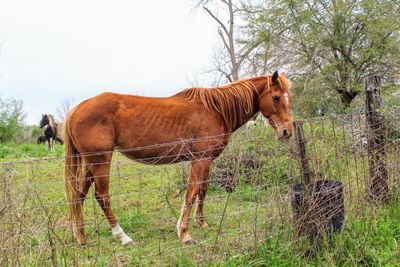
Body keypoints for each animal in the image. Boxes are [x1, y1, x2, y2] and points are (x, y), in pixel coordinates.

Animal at [64, 71, 292, 247]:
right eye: (276, 97)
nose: (287, 132)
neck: (217, 109)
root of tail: (75, 110)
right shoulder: (200, 160)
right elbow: (191, 193)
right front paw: (184, 233)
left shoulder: (206, 160)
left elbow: (203, 189)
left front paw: (201, 223)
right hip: (101, 161)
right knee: (102, 196)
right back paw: (123, 237)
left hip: (90, 164)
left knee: (78, 196)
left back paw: (80, 237)